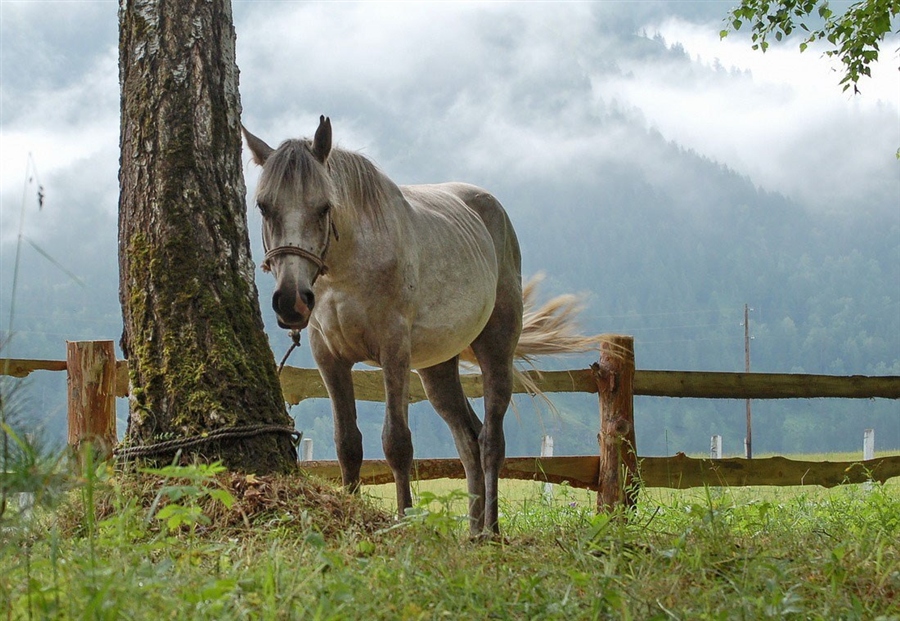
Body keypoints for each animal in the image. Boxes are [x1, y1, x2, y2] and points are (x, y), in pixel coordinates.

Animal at [246, 117, 596, 536]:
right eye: (264, 206)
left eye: (324, 206)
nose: (291, 301)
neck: (350, 268)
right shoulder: (330, 359)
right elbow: (348, 444)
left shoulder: (394, 351)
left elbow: (397, 443)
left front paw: (404, 521)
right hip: (437, 370)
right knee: (468, 439)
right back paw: (473, 530)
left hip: (496, 349)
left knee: (491, 440)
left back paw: (491, 531)